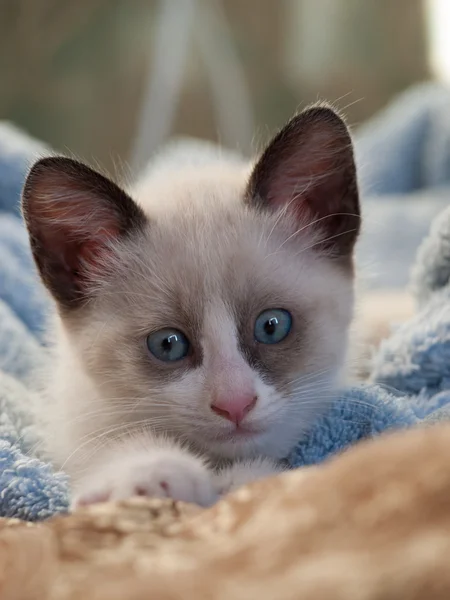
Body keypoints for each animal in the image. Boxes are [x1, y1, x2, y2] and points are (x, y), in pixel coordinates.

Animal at [21, 104, 360, 506]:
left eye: (272, 326)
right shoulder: (78, 434)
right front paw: (151, 477)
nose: (235, 405)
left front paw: (243, 481)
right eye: (168, 344)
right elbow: (117, 451)